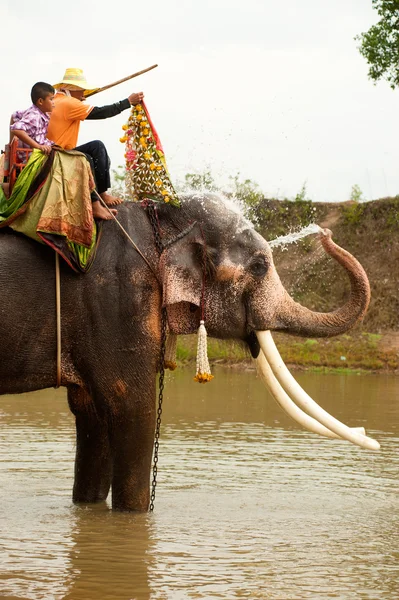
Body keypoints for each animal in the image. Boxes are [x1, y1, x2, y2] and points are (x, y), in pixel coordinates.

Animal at [0, 196, 380, 510]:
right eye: (259, 266)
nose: (326, 233)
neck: (160, 221)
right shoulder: (119, 302)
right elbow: (132, 407)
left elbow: (92, 413)